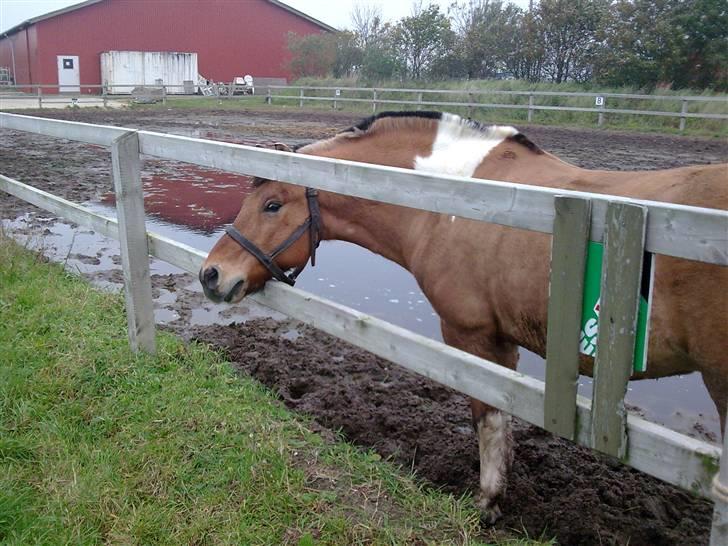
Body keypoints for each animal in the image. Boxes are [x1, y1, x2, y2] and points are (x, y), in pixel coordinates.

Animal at [200, 111, 728, 520]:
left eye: (272, 205)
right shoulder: (502, 340)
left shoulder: (470, 335)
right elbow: (504, 418)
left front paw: (487, 503)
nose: (211, 275)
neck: (449, 200)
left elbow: (486, 415)